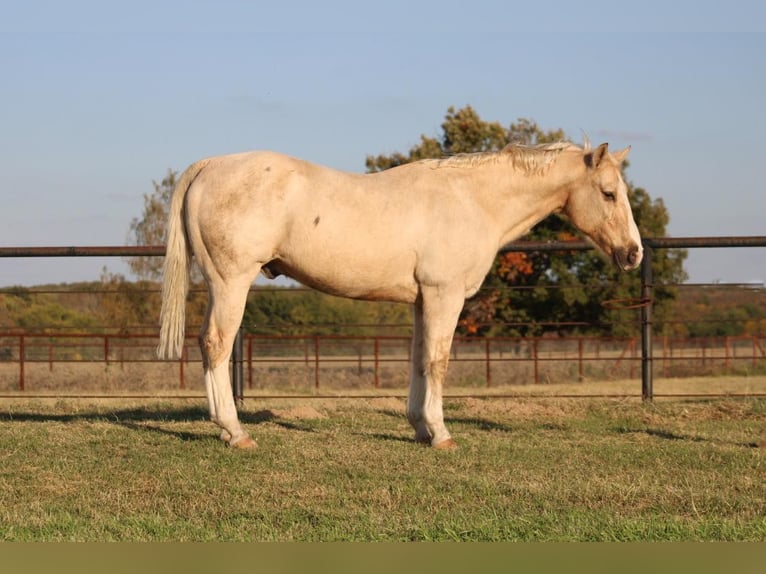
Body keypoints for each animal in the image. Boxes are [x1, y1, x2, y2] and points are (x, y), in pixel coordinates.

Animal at [158, 141, 640, 450]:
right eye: (608, 193)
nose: (633, 253)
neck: (471, 200)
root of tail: (210, 165)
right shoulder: (445, 295)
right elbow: (438, 362)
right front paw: (442, 435)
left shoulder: (423, 301)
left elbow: (418, 360)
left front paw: (420, 429)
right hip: (231, 281)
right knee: (216, 345)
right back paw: (235, 432)